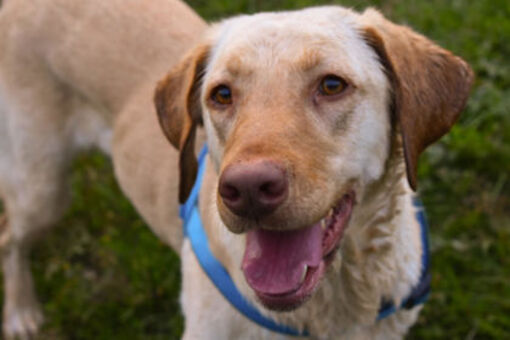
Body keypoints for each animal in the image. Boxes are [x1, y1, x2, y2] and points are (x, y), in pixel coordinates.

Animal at [0, 1, 472, 338]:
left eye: (332, 85)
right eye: (222, 94)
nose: (246, 188)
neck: (331, 308)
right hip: (42, 187)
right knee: (10, 236)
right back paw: (21, 311)